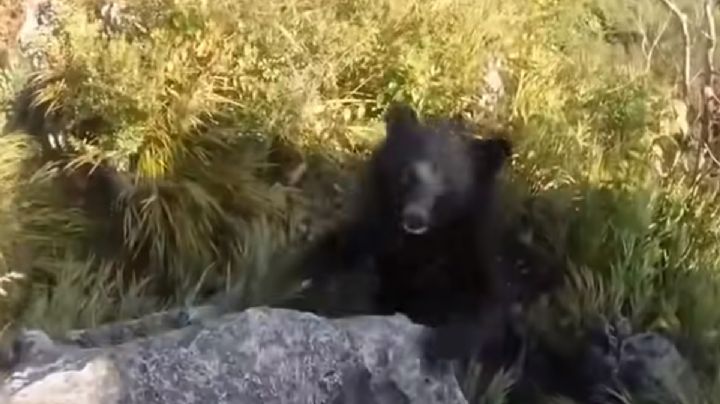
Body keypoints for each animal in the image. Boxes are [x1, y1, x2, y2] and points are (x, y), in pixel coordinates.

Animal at [285, 102, 514, 363]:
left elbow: (482, 310)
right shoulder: (373, 236)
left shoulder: (471, 256)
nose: (414, 218)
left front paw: (442, 345)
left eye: (448, 184)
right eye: (408, 173)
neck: (419, 243)